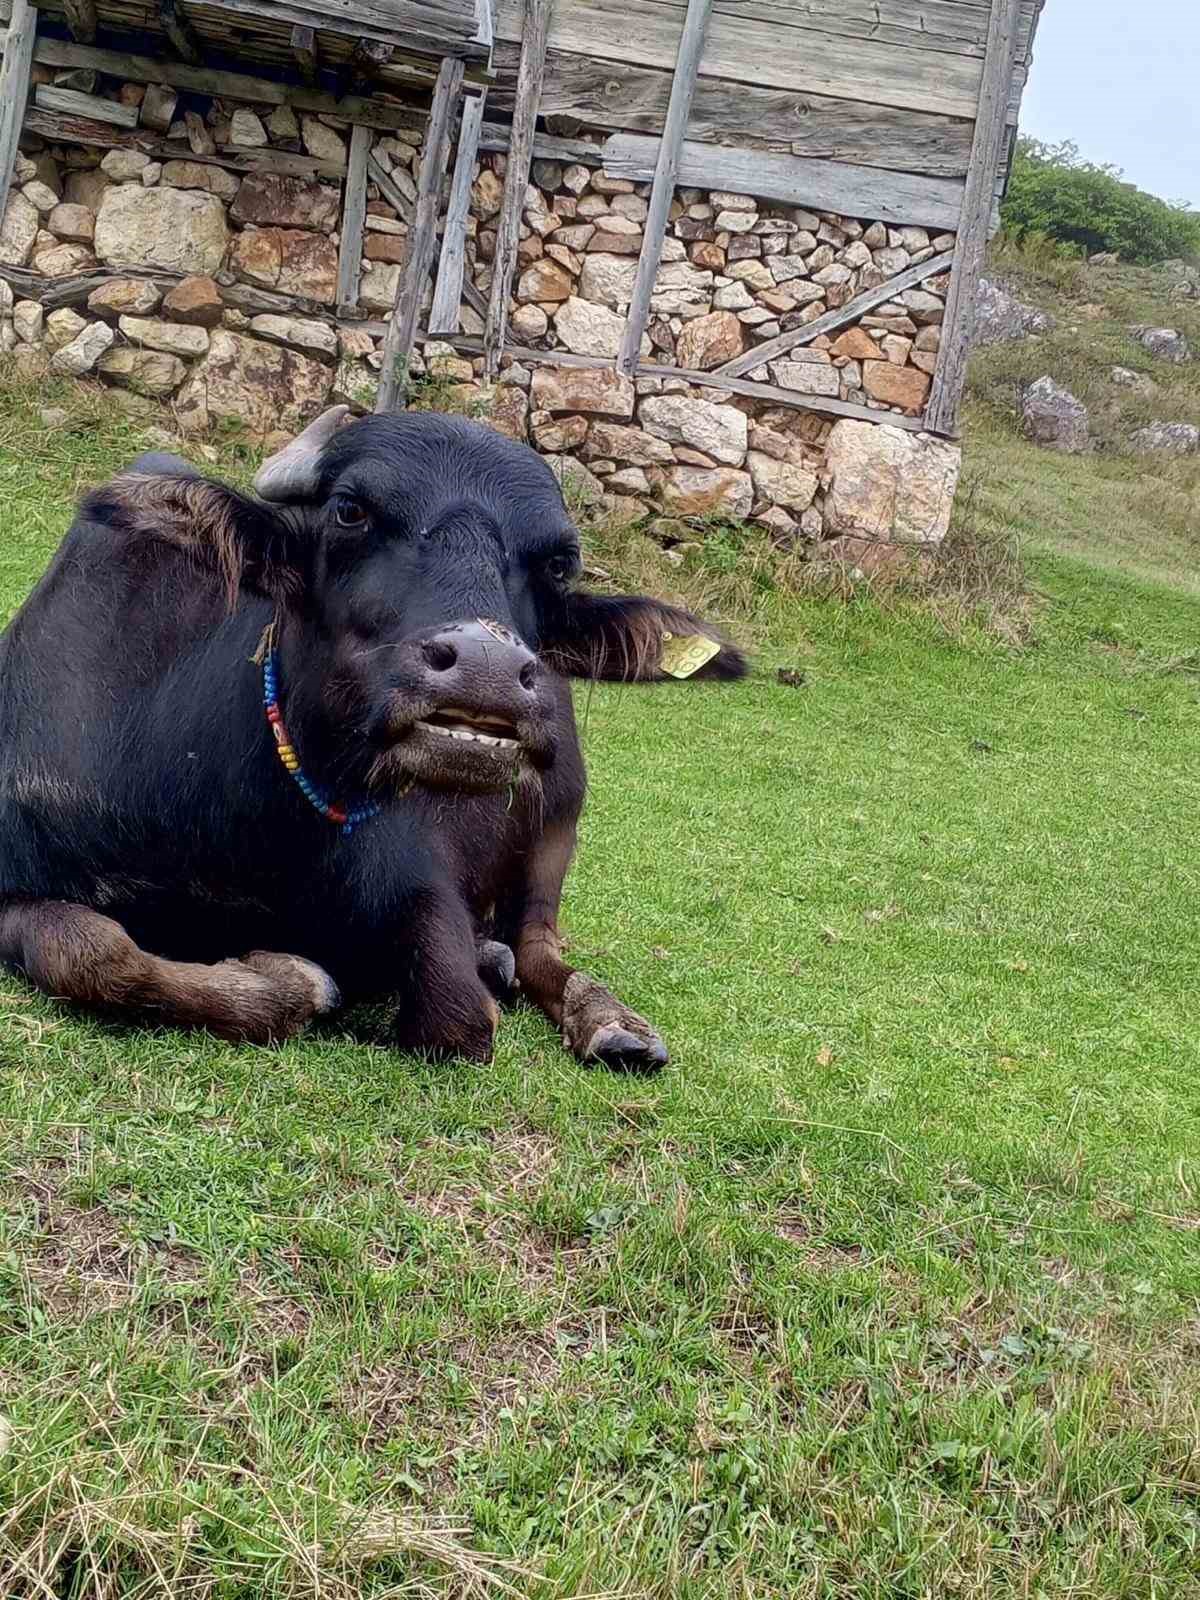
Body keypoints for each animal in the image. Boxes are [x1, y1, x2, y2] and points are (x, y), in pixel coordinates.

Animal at [0, 406, 748, 1068]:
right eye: (350, 510)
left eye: (558, 562)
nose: (487, 670)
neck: (238, 825)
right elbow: (94, 955)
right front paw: (290, 979)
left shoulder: (421, 880)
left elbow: (458, 1018)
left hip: (557, 826)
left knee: (540, 944)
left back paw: (611, 1024)